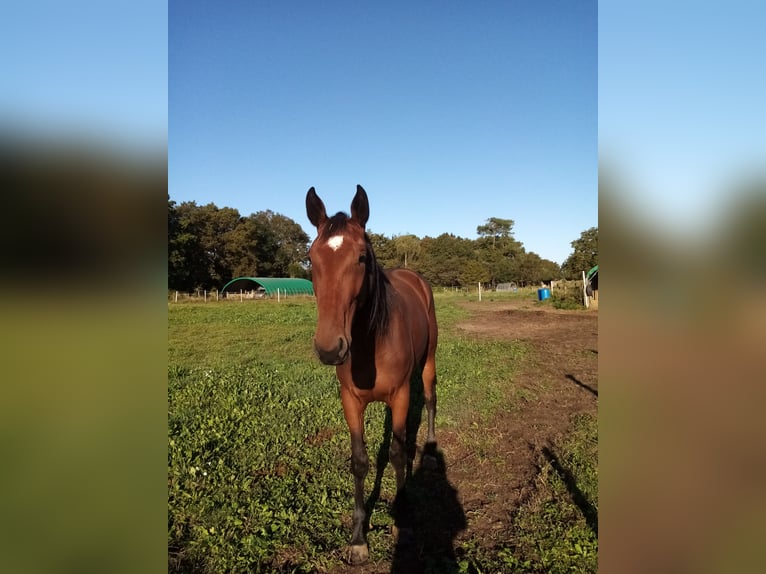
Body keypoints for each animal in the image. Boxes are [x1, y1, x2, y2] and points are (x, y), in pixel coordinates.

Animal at [304, 186, 438, 568]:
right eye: (311, 258)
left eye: (361, 257)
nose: (330, 348)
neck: (371, 341)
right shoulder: (350, 400)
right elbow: (361, 461)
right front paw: (358, 538)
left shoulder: (401, 396)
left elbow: (397, 454)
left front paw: (402, 519)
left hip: (428, 362)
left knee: (431, 399)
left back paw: (431, 446)